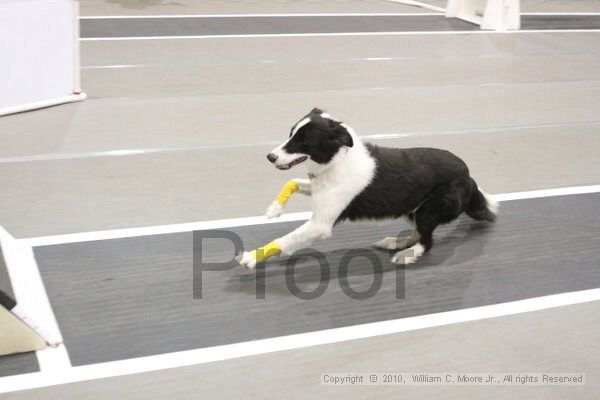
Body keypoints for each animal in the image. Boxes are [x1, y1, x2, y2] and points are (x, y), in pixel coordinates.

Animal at [234, 108, 496, 268]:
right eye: (290, 134)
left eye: (302, 141)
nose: (270, 157)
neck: (336, 161)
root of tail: (468, 175)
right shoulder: (318, 189)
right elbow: (292, 182)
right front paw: (274, 209)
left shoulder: (320, 224)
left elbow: (285, 239)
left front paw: (251, 257)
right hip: (411, 207)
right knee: (418, 234)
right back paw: (395, 243)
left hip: (429, 209)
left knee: (426, 241)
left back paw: (406, 255)